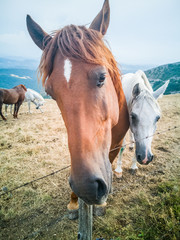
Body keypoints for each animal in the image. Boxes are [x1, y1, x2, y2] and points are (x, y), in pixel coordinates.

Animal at [26, 0, 129, 210]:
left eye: (102, 77)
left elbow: (110, 159)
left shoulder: (114, 145)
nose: (86, 188)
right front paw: (75, 201)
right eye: (50, 92)